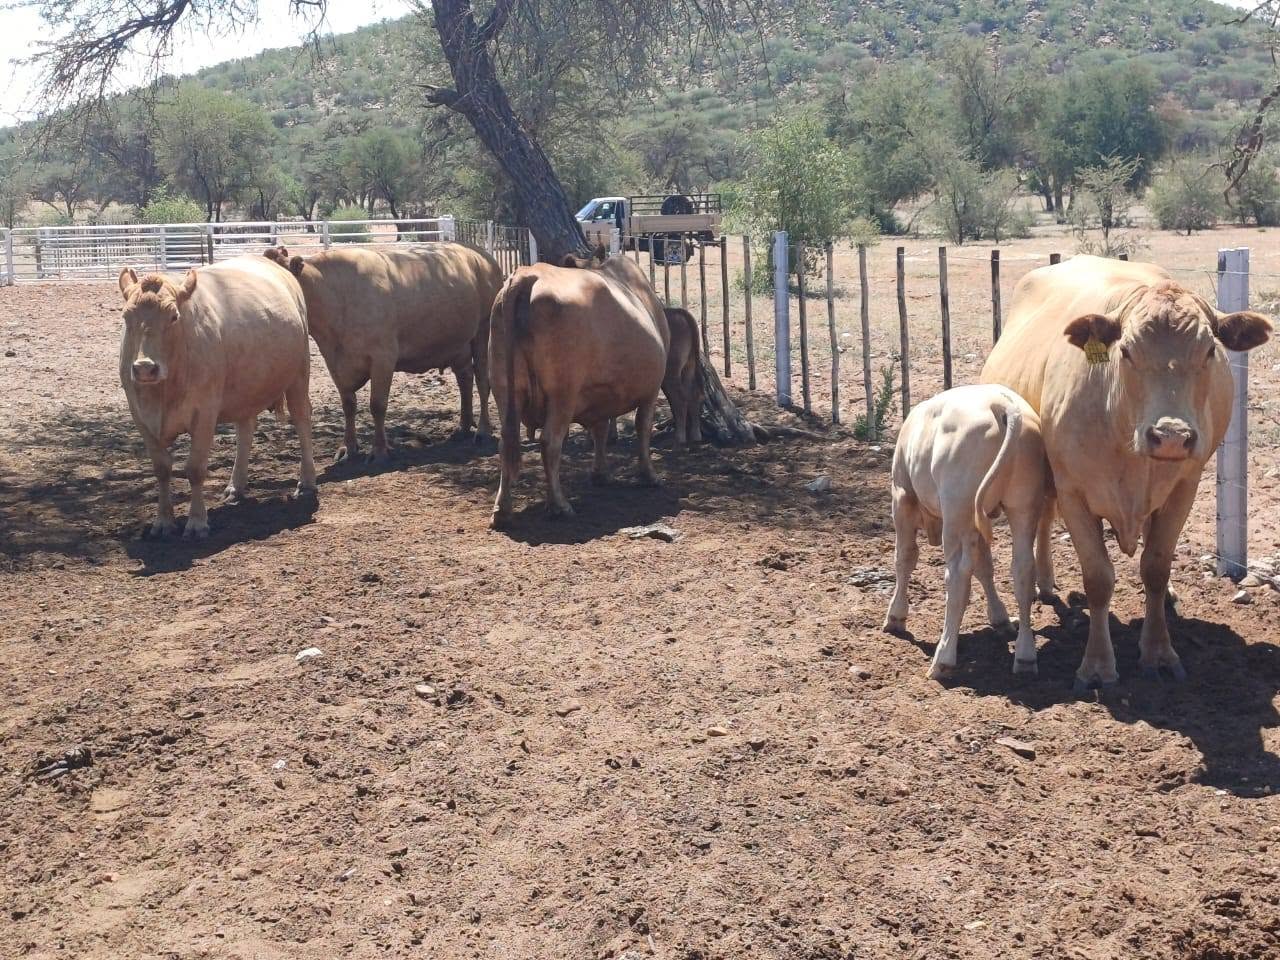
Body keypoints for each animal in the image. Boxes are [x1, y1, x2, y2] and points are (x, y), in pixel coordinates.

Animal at [118, 256, 317, 540]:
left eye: (174, 316)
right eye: (126, 316)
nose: (145, 367)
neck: (163, 393)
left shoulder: (204, 413)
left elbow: (195, 469)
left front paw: (197, 522)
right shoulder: (140, 417)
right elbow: (161, 469)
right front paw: (163, 522)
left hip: (299, 374)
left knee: (301, 420)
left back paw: (307, 481)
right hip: (246, 391)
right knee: (245, 430)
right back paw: (236, 486)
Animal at [263, 243, 502, 463]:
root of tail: (481, 254)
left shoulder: (383, 357)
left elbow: (377, 405)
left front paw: (378, 451)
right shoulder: (334, 362)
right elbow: (348, 405)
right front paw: (348, 448)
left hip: (483, 332)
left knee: (482, 380)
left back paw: (483, 431)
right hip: (458, 344)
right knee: (465, 379)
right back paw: (463, 427)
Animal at [489, 253, 670, 526]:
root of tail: (528, 275)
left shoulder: (600, 395)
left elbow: (600, 430)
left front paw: (600, 473)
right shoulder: (650, 390)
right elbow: (642, 428)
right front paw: (649, 475)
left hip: (504, 390)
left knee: (506, 441)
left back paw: (502, 509)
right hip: (563, 393)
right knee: (550, 442)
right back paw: (559, 505)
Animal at [884, 384, 1050, 679]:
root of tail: (1003, 405)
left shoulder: (902, 497)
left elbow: (905, 558)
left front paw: (896, 615)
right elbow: (985, 566)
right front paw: (1000, 618)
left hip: (957, 512)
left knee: (958, 576)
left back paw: (944, 658)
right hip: (1023, 506)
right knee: (1023, 570)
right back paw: (1025, 656)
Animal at [981, 255, 1271, 691]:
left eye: (1209, 350)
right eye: (1128, 351)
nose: (1171, 436)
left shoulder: (1183, 488)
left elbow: (1155, 566)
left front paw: (1159, 652)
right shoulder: (1073, 491)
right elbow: (1098, 578)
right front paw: (1098, 665)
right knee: (1045, 518)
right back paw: (1043, 584)